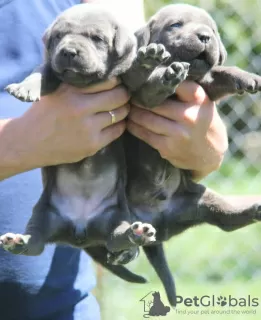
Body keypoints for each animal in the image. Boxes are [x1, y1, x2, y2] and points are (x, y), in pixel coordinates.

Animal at [0, 4, 156, 284]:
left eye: (97, 38)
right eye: (58, 37)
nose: (68, 51)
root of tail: (80, 232)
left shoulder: (127, 82)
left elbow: (135, 74)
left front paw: (147, 61)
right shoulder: (51, 69)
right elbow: (40, 72)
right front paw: (25, 88)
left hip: (115, 217)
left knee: (118, 238)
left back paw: (136, 234)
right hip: (44, 214)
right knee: (35, 243)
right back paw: (17, 241)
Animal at [121, 3, 260, 308]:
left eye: (213, 30)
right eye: (176, 25)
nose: (205, 36)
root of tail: (157, 225)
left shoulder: (207, 84)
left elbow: (220, 72)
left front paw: (246, 77)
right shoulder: (141, 98)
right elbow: (152, 84)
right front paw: (166, 76)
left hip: (200, 202)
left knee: (225, 221)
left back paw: (253, 209)